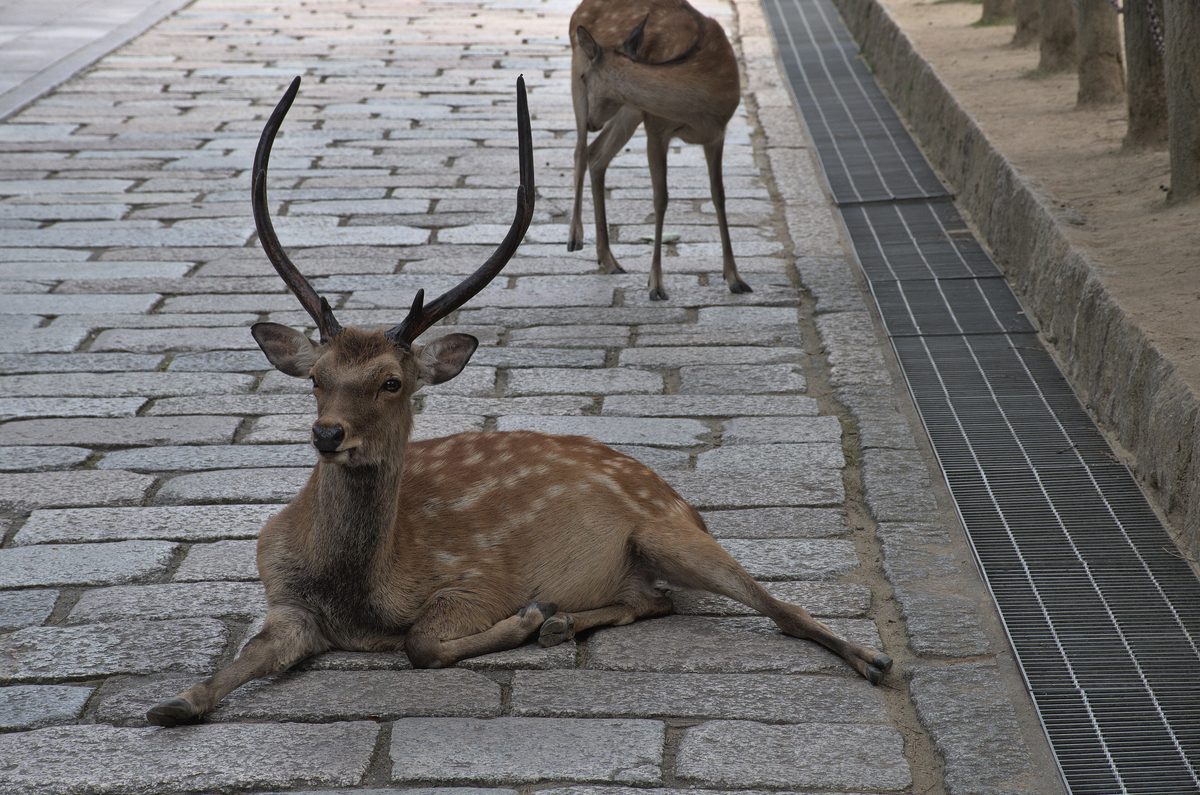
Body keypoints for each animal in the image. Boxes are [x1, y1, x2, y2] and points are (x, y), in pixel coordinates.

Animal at [145, 74, 891, 728]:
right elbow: (244, 656)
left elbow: (421, 643)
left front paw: (525, 617)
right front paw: (174, 701)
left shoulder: (475, 579)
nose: (328, 435)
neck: (357, 594)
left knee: (773, 606)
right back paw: (565, 622)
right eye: (315, 377)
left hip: (669, 531)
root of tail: (672, 489)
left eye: (392, 381)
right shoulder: (284, 597)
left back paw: (872, 659)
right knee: (656, 599)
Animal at [566, 0, 751, 302]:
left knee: (596, 154)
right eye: (584, 76)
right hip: (586, 87)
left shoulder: (717, 134)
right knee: (580, 151)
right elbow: (660, 198)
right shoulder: (656, 127)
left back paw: (608, 259)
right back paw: (575, 237)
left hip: (628, 109)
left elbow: (719, 196)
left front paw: (735, 278)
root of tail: (577, 11)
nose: (593, 122)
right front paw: (655, 284)